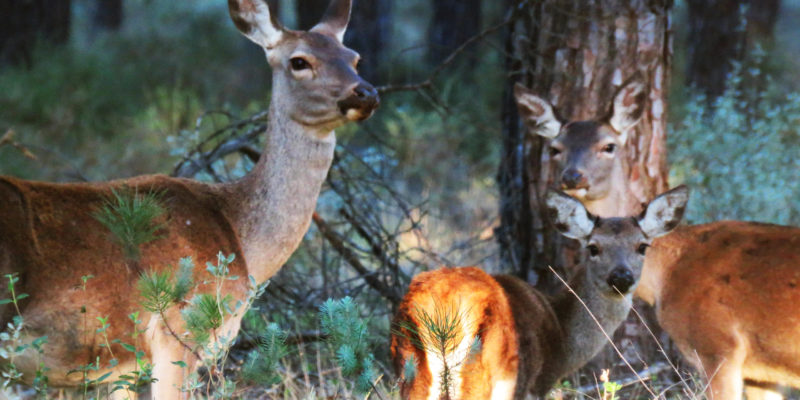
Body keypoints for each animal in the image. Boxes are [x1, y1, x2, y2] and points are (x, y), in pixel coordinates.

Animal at [0, 0, 378, 396]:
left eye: (355, 58)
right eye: (299, 61)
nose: (365, 93)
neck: (240, 237)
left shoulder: (121, 366)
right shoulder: (179, 329)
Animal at [390, 186, 688, 398]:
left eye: (642, 246)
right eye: (593, 247)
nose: (621, 276)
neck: (563, 337)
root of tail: (444, 308)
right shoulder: (538, 382)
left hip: (410, 367)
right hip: (497, 375)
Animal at [516, 82, 800, 400]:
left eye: (608, 146)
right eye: (555, 149)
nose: (573, 176)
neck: (666, 275)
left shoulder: (717, 346)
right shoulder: (760, 374)